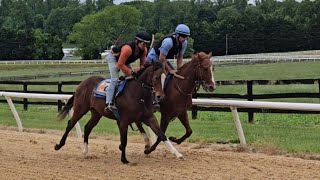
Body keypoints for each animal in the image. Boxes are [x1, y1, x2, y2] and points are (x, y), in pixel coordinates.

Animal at [54, 62, 184, 164]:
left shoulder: (148, 117)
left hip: (96, 113)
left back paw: (85, 150)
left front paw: (178, 154)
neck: (137, 94)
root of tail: (82, 83)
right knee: (71, 123)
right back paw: (59, 145)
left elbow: (161, 134)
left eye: (165, 78)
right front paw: (124, 159)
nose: (160, 96)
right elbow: (124, 139)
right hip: (80, 109)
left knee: (87, 127)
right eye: (156, 77)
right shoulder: (124, 121)